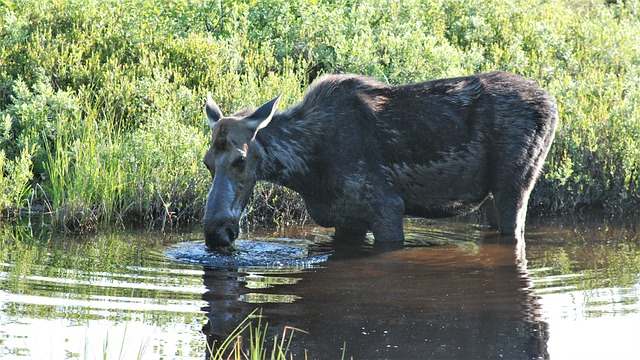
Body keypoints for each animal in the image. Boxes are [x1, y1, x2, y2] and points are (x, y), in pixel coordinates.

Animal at [200, 71, 556, 249]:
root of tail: (553, 102)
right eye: (206, 162)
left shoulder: (386, 208)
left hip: (515, 183)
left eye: (240, 160)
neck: (306, 171)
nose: (216, 233)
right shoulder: (346, 218)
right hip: (492, 195)